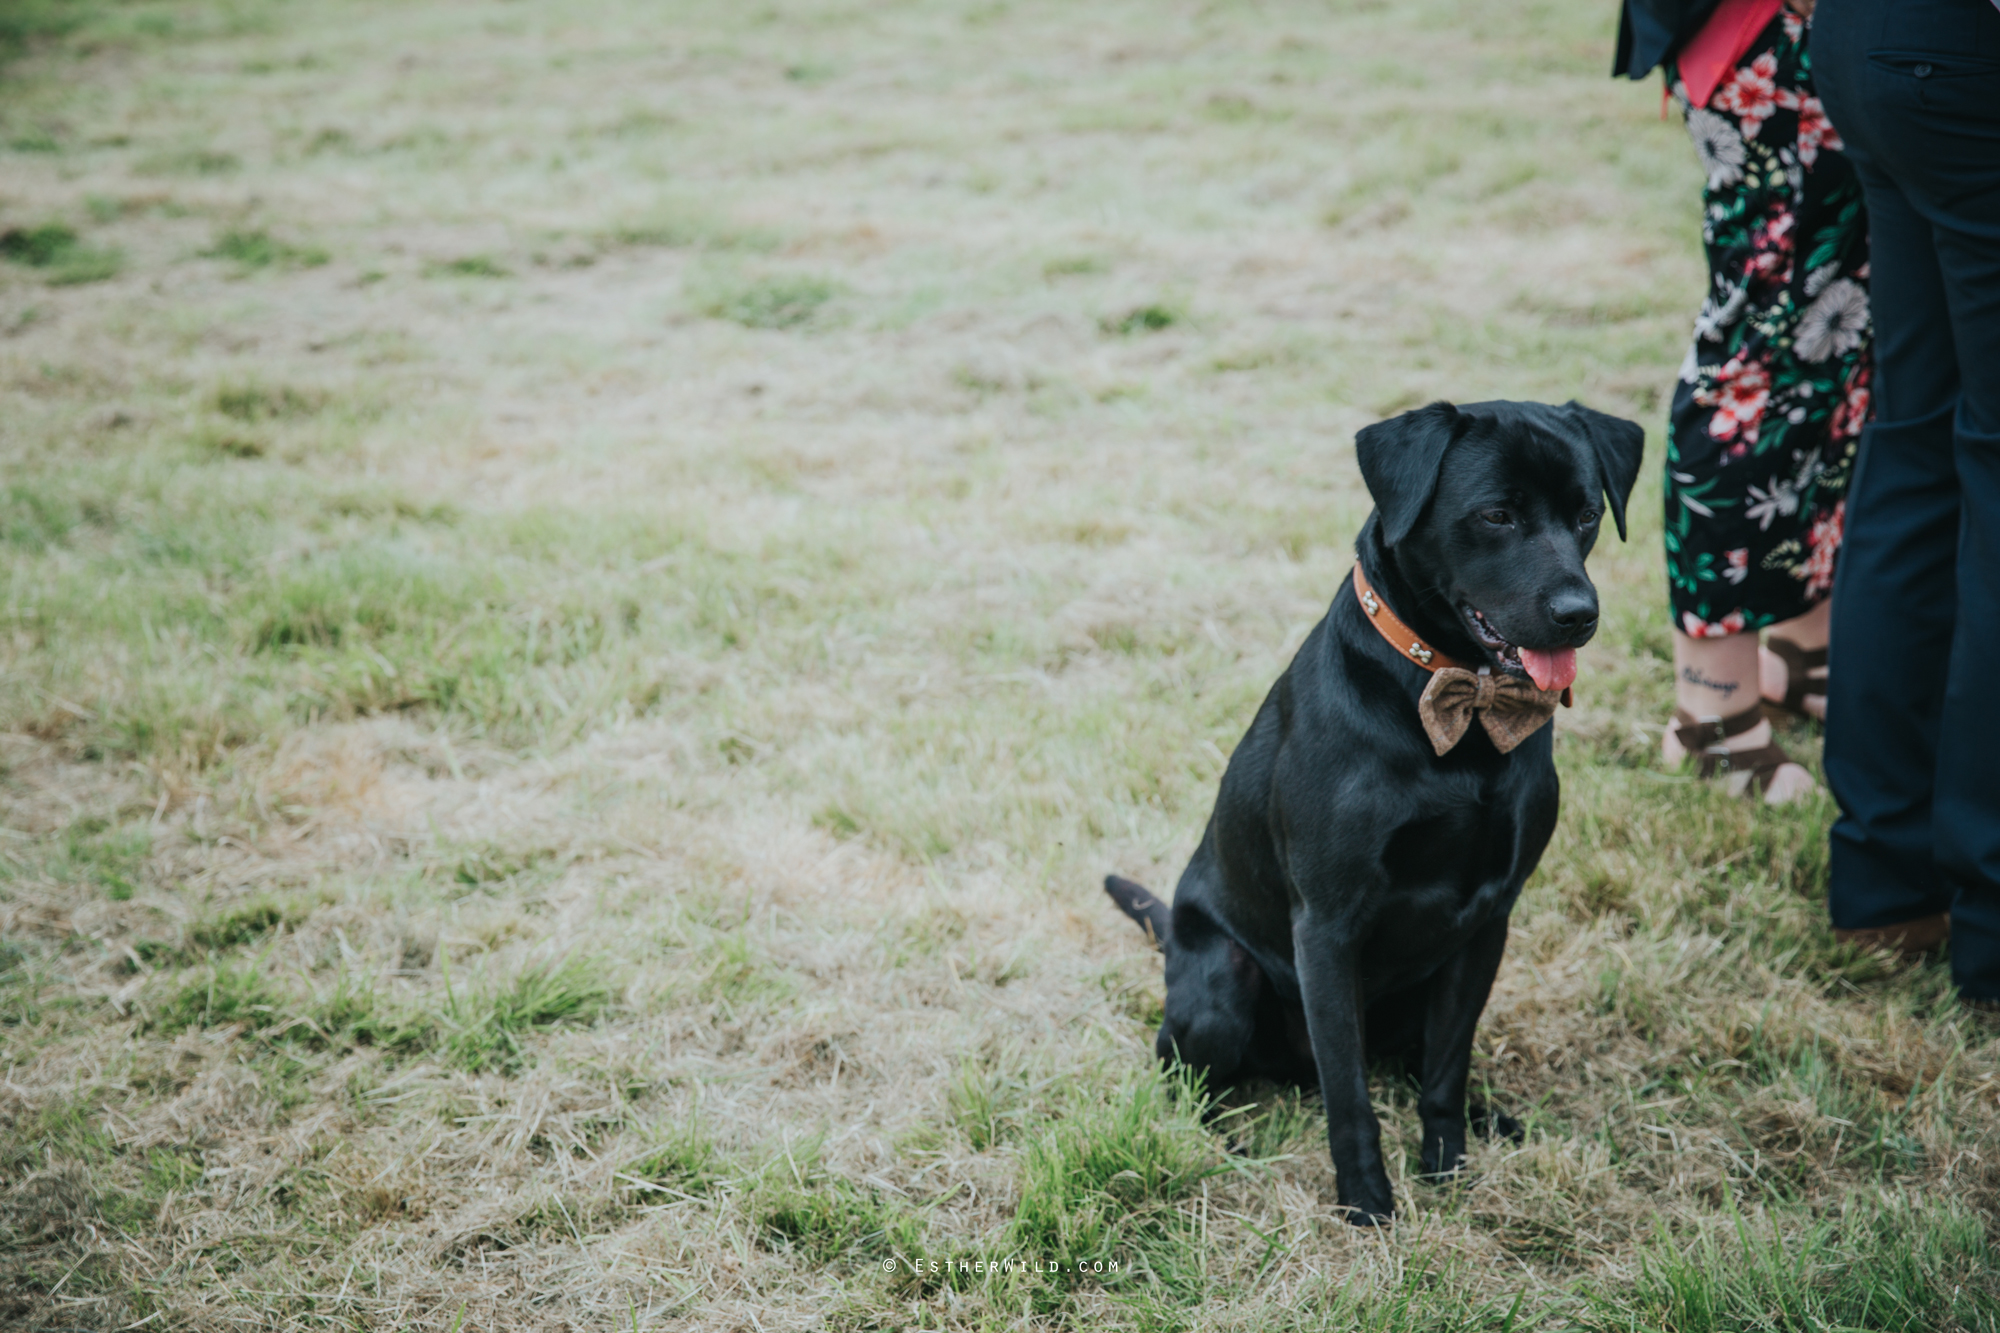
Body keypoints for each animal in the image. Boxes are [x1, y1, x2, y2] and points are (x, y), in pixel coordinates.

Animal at [1112, 400, 1640, 1216]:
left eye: (1587, 514)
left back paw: (1490, 1115)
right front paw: (1365, 1200)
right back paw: (1221, 1143)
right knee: (1186, 1071)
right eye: (1497, 515)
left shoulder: (1488, 918)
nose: (1579, 614)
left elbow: (1447, 1066)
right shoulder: (1328, 924)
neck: (1460, 706)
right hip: (1226, 978)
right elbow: (1349, 1092)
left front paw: (1447, 1166)